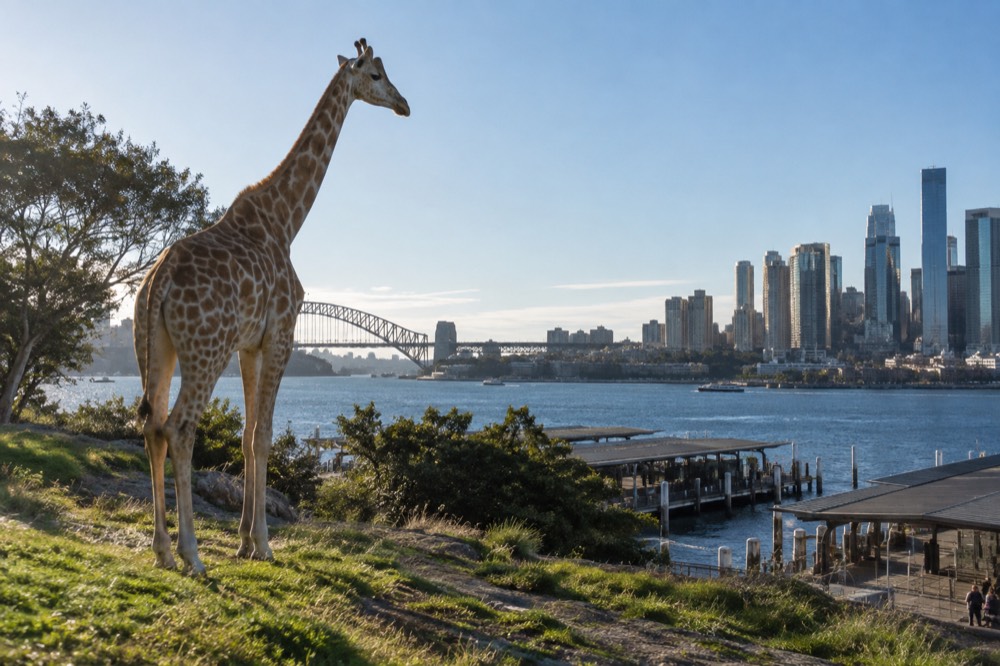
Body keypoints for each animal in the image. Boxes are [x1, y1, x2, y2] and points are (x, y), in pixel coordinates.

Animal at [133, 38, 409, 575]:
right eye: (378, 74)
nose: (405, 104)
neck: (287, 220)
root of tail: (158, 281)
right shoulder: (283, 333)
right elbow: (263, 435)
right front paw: (262, 543)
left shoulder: (249, 345)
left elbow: (246, 436)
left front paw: (243, 540)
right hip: (205, 350)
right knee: (179, 427)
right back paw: (191, 553)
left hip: (156, 346)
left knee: (152, 425)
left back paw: (161, 550)